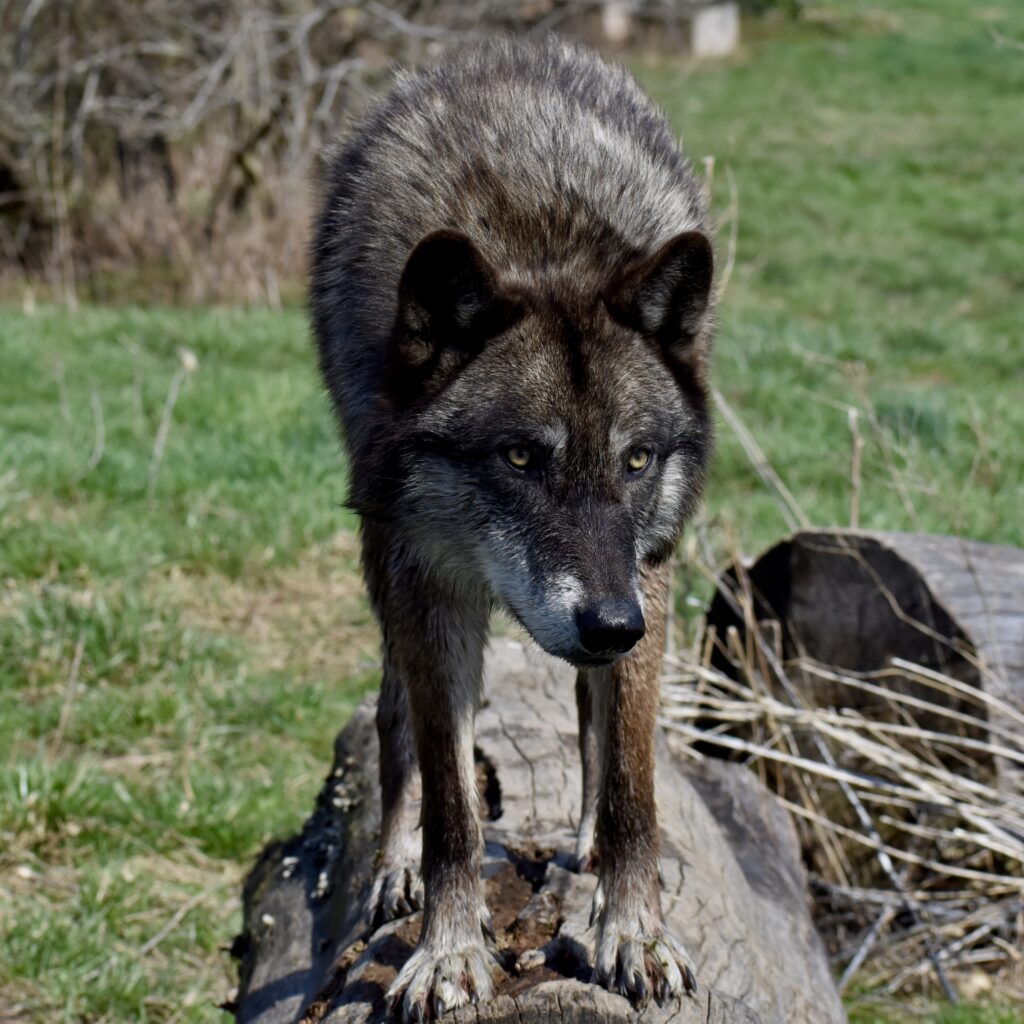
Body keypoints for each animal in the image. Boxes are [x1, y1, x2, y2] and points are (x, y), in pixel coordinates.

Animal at [310, 36, 715, 1021]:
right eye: (522, 457)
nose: (610, 624)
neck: (541, 246)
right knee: (394, 722)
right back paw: (391, 870)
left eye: (636, 460)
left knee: (590, 717)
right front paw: (448, 952)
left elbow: (634, 780)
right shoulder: (426, 585)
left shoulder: (648, 573)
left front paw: (633, 930)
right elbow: (453, 805)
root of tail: (497, 50)